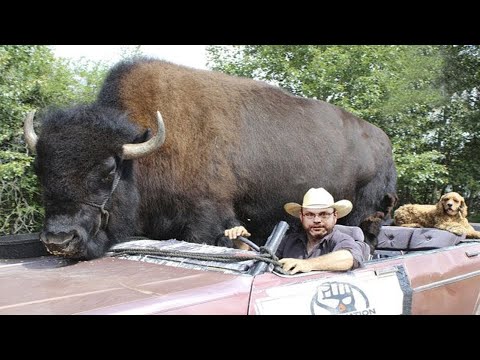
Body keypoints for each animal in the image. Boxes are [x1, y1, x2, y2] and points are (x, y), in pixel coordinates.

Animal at [23, 57, 398, 258]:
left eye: (108, 170)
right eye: (40, 170)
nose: (59, 240)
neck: (147, 146)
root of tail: (383, 141)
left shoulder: (206, 217)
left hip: (365, 212)